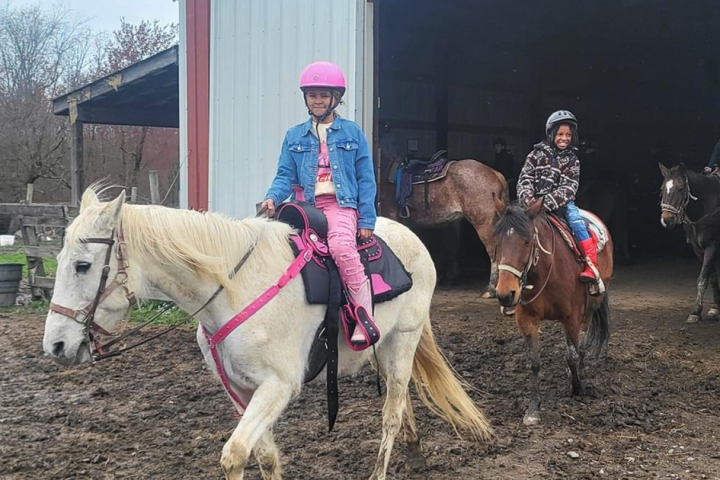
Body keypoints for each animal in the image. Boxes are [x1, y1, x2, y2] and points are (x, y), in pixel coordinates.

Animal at [42, 187, 492, 480]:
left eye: (83, 265)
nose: (56, 345)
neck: (233, 290)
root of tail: (412, 239)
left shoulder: (277, 386)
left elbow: (234, 455)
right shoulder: (241, 390)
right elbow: (266, 458)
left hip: (404, 340)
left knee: (391, 414)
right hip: (381, 350)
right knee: (402, 404)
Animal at [491, 195, 613, 426]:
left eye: (527, 241)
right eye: (497, 242)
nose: (505, 294)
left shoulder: (571, 317)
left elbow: (572, 355)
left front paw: (577, 388)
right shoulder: (526, 319)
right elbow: (533, 362)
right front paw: (532, 409)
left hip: (591, 306)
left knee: (581, 344)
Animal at [659, 163, 720, 323]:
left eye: (681, 188)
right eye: (662, 189)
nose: (667, 219)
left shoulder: (712, 246)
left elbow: (702, 279)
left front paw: (695, 311)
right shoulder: (699, 249)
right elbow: (712, 278)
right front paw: (715, 308)